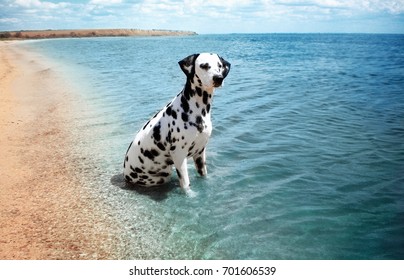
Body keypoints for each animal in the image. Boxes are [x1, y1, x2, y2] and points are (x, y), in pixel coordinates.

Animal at [123, 53, 230, 196]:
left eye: (219, 65)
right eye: (204, 66)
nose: (218, 78)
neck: (196, 109)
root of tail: (125, 174)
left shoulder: (200, 153)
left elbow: (204, 175)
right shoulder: (179, 155)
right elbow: (186, 184)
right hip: (160, 177)